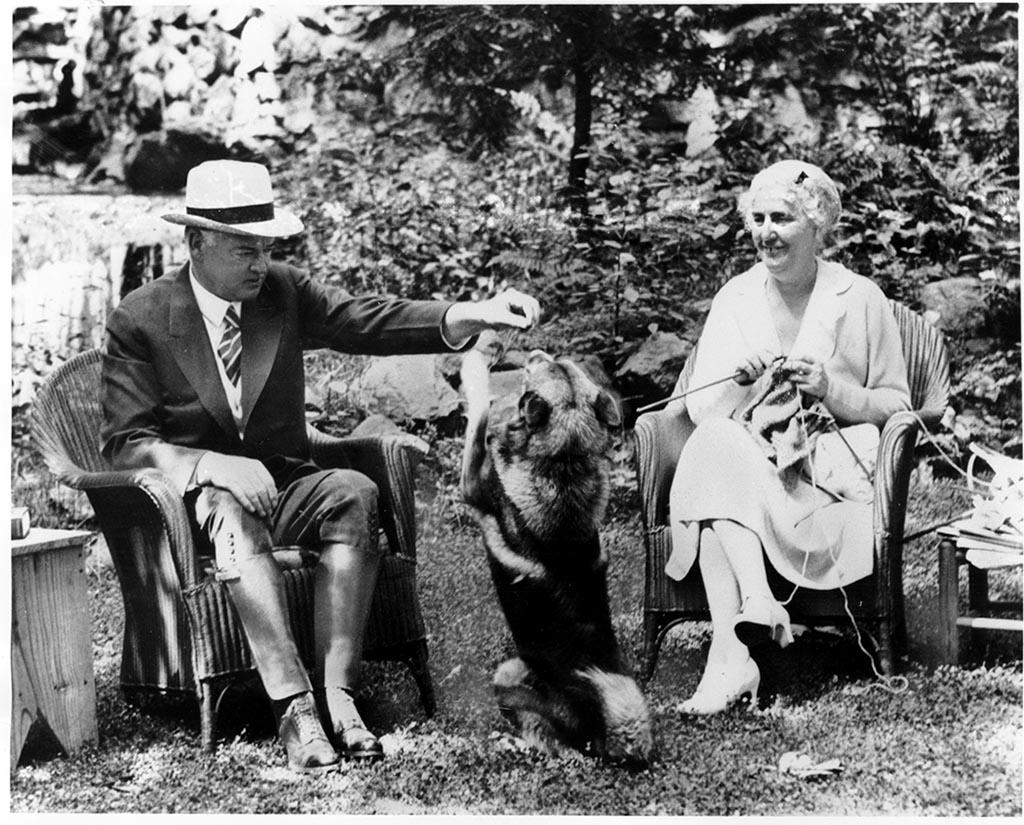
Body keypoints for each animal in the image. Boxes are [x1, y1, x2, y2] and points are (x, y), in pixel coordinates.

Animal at [458, 333, 651, 769]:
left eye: (537, 373)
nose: (533, 351)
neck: (563, 461)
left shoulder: (473, 487)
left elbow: (479, 412)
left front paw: (478, 357)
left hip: (508, 672)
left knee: (552, 744)